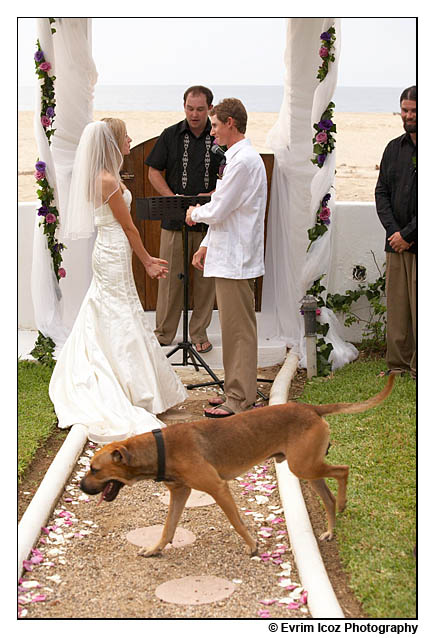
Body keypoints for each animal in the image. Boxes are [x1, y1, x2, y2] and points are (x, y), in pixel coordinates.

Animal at [79, 378, 396, 556]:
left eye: (94, 469)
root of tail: (311, 408)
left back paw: (343, 503)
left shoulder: (218, 488)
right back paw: (331, 529)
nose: (81, 487)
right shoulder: (180, 492)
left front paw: (252, 546)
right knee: (328, 496)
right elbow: (168, 528)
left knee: (343, 470)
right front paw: (156, 549)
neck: (159, 447)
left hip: (305, 465)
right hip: (306, 467)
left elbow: (236, 521)